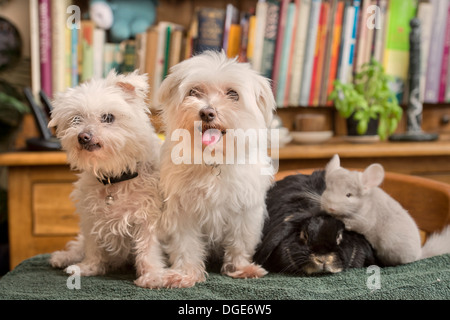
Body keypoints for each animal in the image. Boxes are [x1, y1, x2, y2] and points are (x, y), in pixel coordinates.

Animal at [48, 70, 167, 288]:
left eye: (108, 117)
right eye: (76, 119)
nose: (83, 137)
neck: (115, 177)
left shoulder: (148, 218)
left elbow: (148, 249)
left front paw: (152, 276)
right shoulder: (92, 217)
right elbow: (93, 247)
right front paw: (88, 268)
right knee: (79, 246)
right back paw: (63, 257)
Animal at [155, 50, 276, 288]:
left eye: (233, 94)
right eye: (194, 91)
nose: (207, 112)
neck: (212, 160)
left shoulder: (245, 209)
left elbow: (240, 241)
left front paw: (241, 268)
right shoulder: (181, 211)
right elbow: (186, 245)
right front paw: (186, 274)